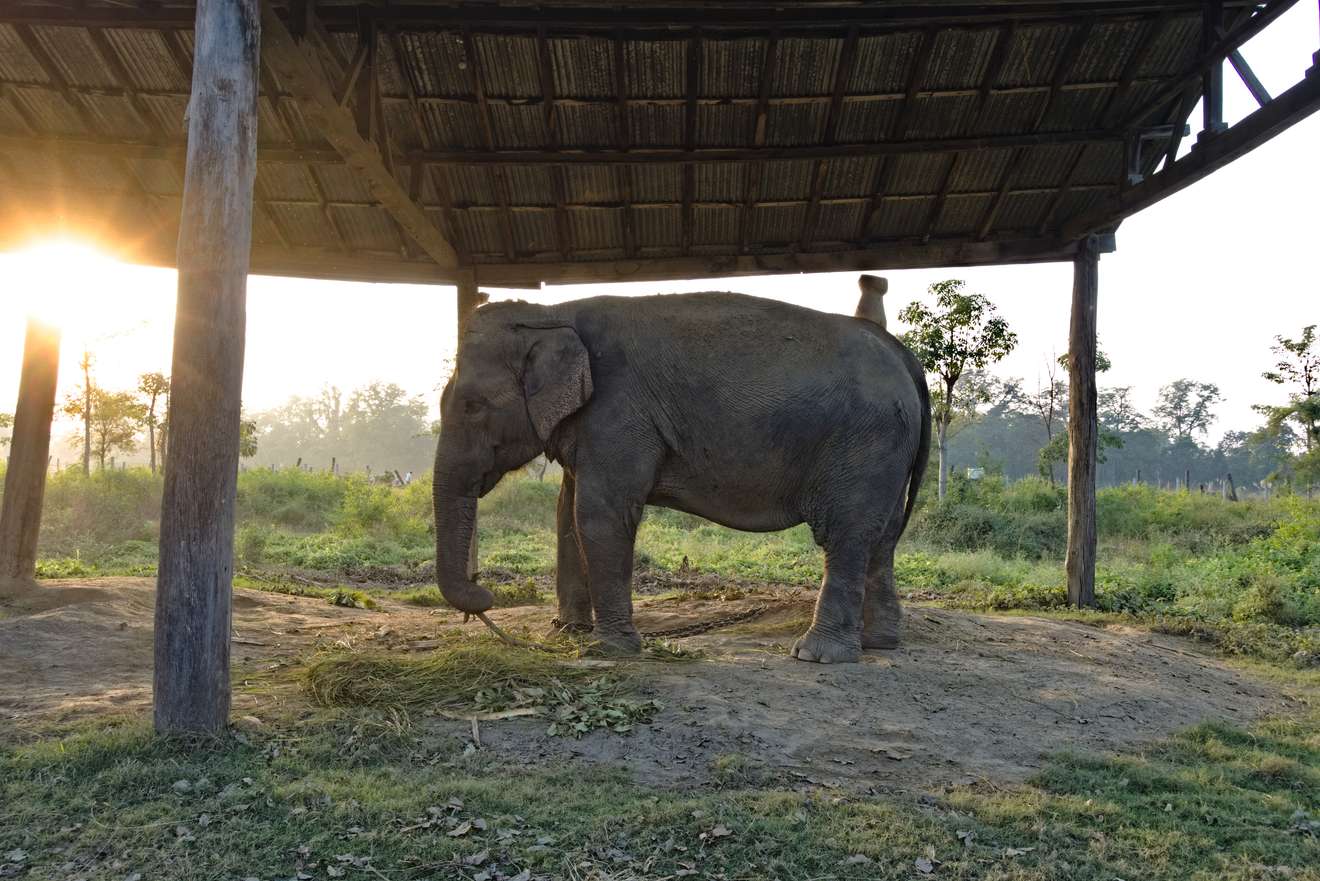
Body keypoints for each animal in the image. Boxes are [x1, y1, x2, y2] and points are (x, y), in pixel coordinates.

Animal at [430, 278, 929, 665]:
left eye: (473, 406)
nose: (483, 599)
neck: (551, 312)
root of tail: (903, 356)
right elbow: (566, 513)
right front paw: (567, 633)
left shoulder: (619, 412)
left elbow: (599, 513)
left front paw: (611, 649)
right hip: (886, 450)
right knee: (881, 537)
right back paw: (880, 643)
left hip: (865, 442)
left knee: (847, 533)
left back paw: (818, 655)